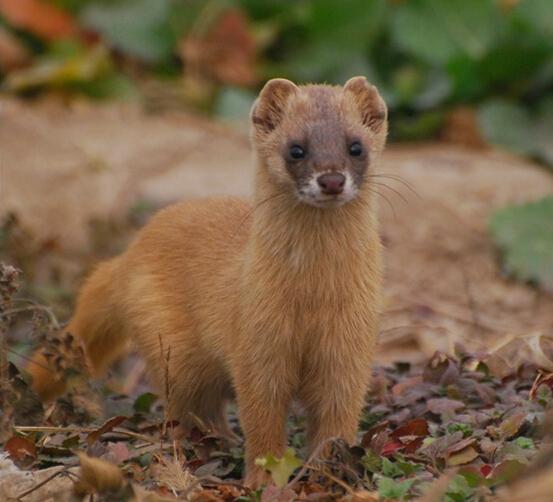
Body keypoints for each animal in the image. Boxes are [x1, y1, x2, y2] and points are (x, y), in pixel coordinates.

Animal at [28, 76, 386, 484]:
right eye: (296, 149)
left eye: (355, 146)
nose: (331, 179)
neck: (313, 299)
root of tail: (128, 254)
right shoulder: (255, 341)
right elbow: (261, 417)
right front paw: (263, 478)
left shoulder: (349, 346)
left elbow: (337, 417)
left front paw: (331, 472)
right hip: (173, 351)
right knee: (190, 406)